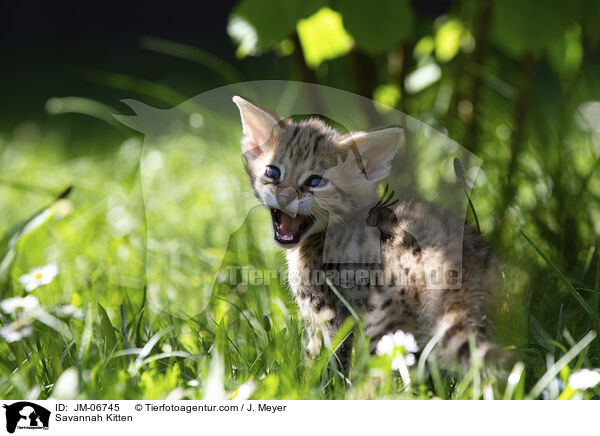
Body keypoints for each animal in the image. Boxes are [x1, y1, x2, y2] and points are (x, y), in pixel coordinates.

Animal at [233, 95, 502, 372]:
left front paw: (308, 381)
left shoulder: (326, 311)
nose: (284, 197)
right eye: (272, 172)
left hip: (382, 317)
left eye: (315, 182)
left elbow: (322, 359)